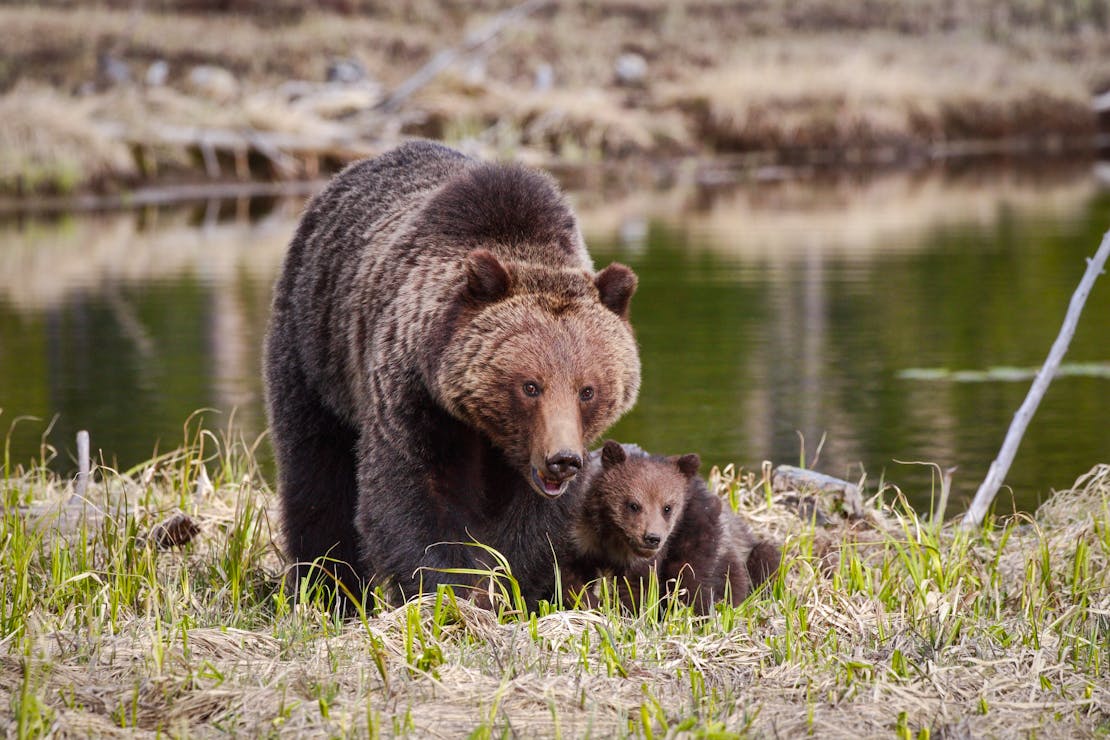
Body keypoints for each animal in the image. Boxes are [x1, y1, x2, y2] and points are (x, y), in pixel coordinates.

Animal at [263, 141, 640, 608]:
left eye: (588, 390)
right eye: (530, 386)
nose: (563, 459)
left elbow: (536, 523)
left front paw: (506, 587)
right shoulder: (413, 396)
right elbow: (413, 496)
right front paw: (449, 593)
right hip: (314, 346)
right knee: (316, 469)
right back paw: (328, 587)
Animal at [562, 441, 780, 614]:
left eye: (667, 507)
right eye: (633, 504)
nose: (652, 538)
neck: (613, 535)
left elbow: (638, 586)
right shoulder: (581, 536)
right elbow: (570, 576)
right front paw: (591, 603)